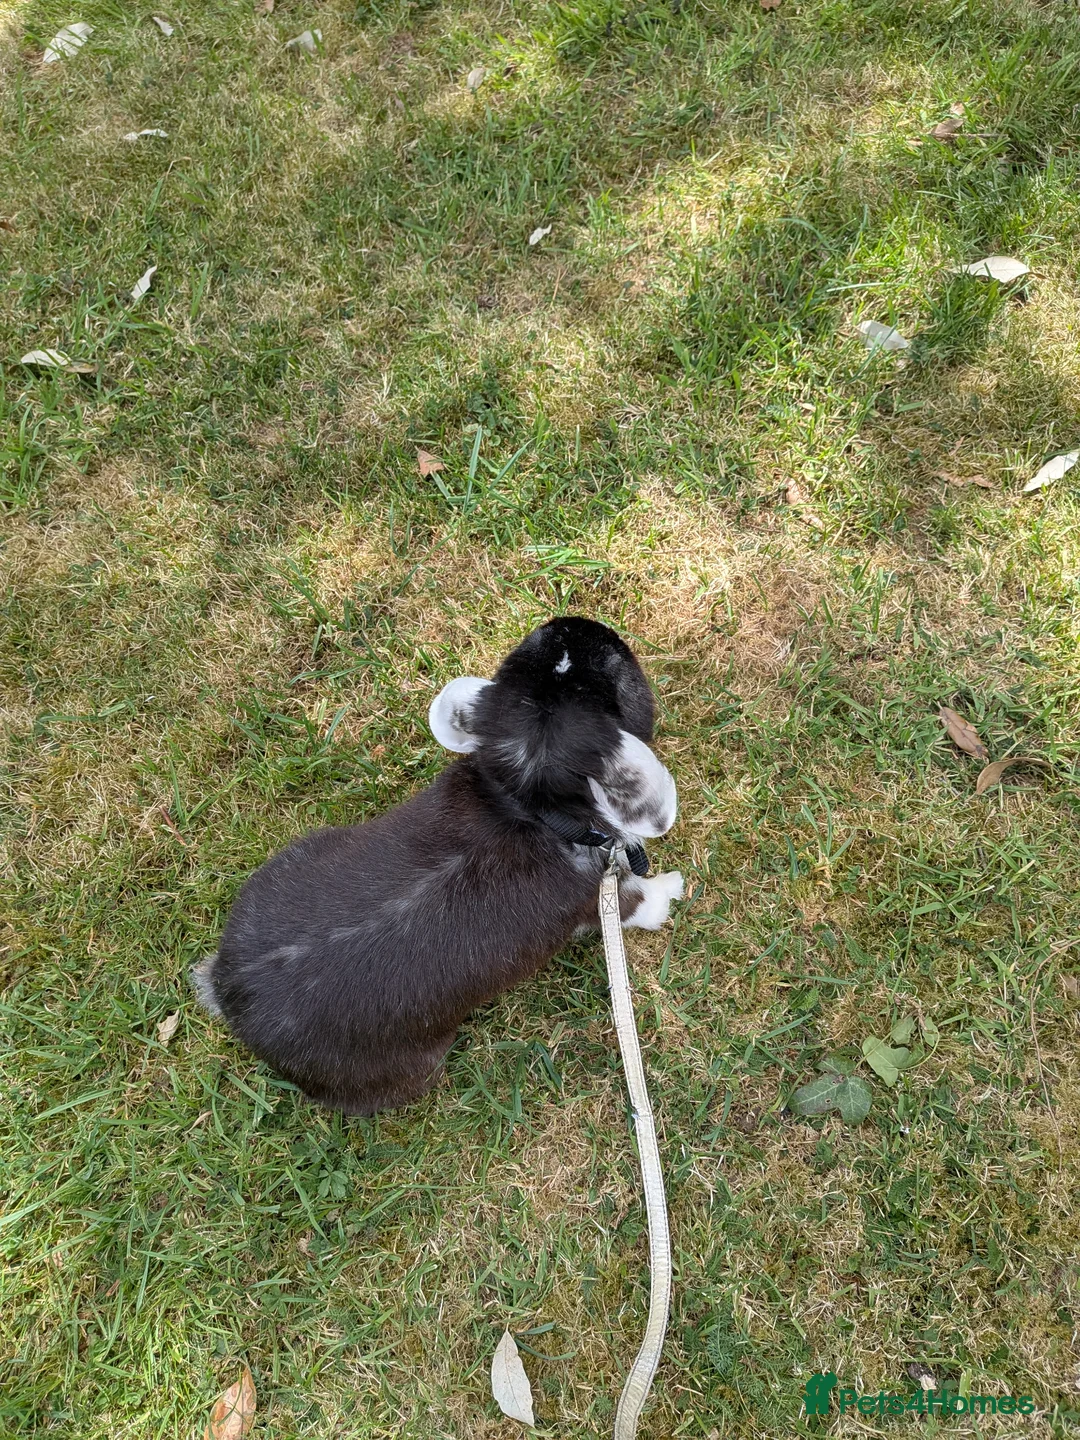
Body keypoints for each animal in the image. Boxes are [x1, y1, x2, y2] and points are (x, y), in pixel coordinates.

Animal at [192, 616, 682, 1115]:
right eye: (614, 668)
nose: (572, 623)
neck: (532, 801)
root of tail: (228, 991)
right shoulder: (605, 895)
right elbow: (642, 902)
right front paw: (673, 890)